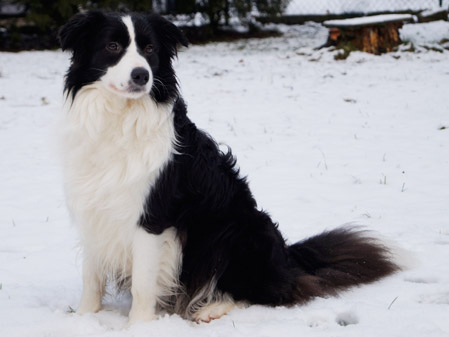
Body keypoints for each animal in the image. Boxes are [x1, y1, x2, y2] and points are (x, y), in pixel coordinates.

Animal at [57, 11, 398, 324]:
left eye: (150, 49)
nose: (142, 75)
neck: (119, 118)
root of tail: (288, 258)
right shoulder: (93, 207)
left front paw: (139, 326)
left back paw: (213, 307)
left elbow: (143, 283)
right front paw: (83, 318)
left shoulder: (153, 217)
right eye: (112, 46)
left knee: (270, 293)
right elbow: (91, 277)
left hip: (240, 231)